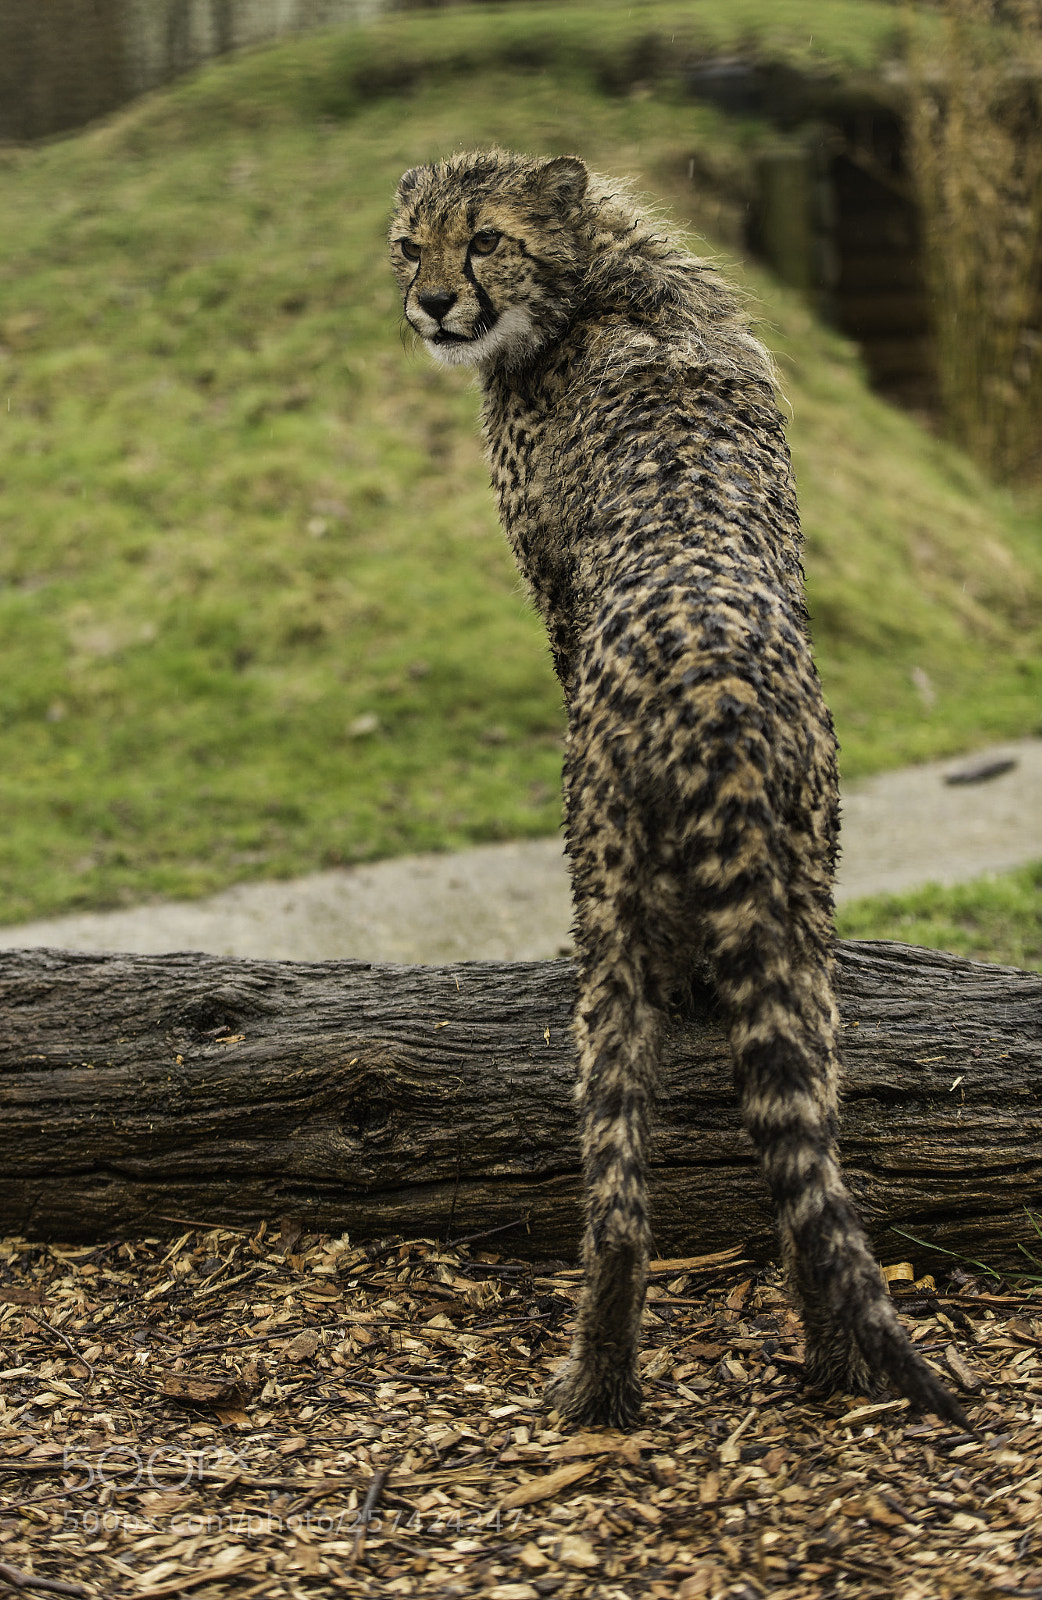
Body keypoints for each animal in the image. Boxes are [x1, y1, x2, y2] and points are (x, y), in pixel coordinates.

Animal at [389, 147, 967, 1432]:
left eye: (485, 239)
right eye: (411, 244)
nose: (434, 304)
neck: (599, 275)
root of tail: (716, 695)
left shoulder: (554, 596)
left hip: (608, 910)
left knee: (616, 1184)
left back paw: (596, 1378)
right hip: (801, 922)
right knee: (799, 1170)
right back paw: (804, 1362)